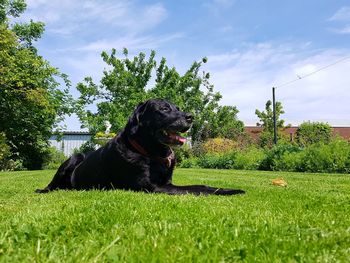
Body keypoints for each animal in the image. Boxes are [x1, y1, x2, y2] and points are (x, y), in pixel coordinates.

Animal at [35, 99, 243, 196]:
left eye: (177, 108)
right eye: (164, 109)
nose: (190, 117)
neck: (150, 153)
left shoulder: (166, 182)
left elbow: (201, 185)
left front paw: (229, 189)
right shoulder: (153, 187)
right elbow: (196, 188)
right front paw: (229, 191)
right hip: (74, 157)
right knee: (52, 184)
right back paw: (43, 190)